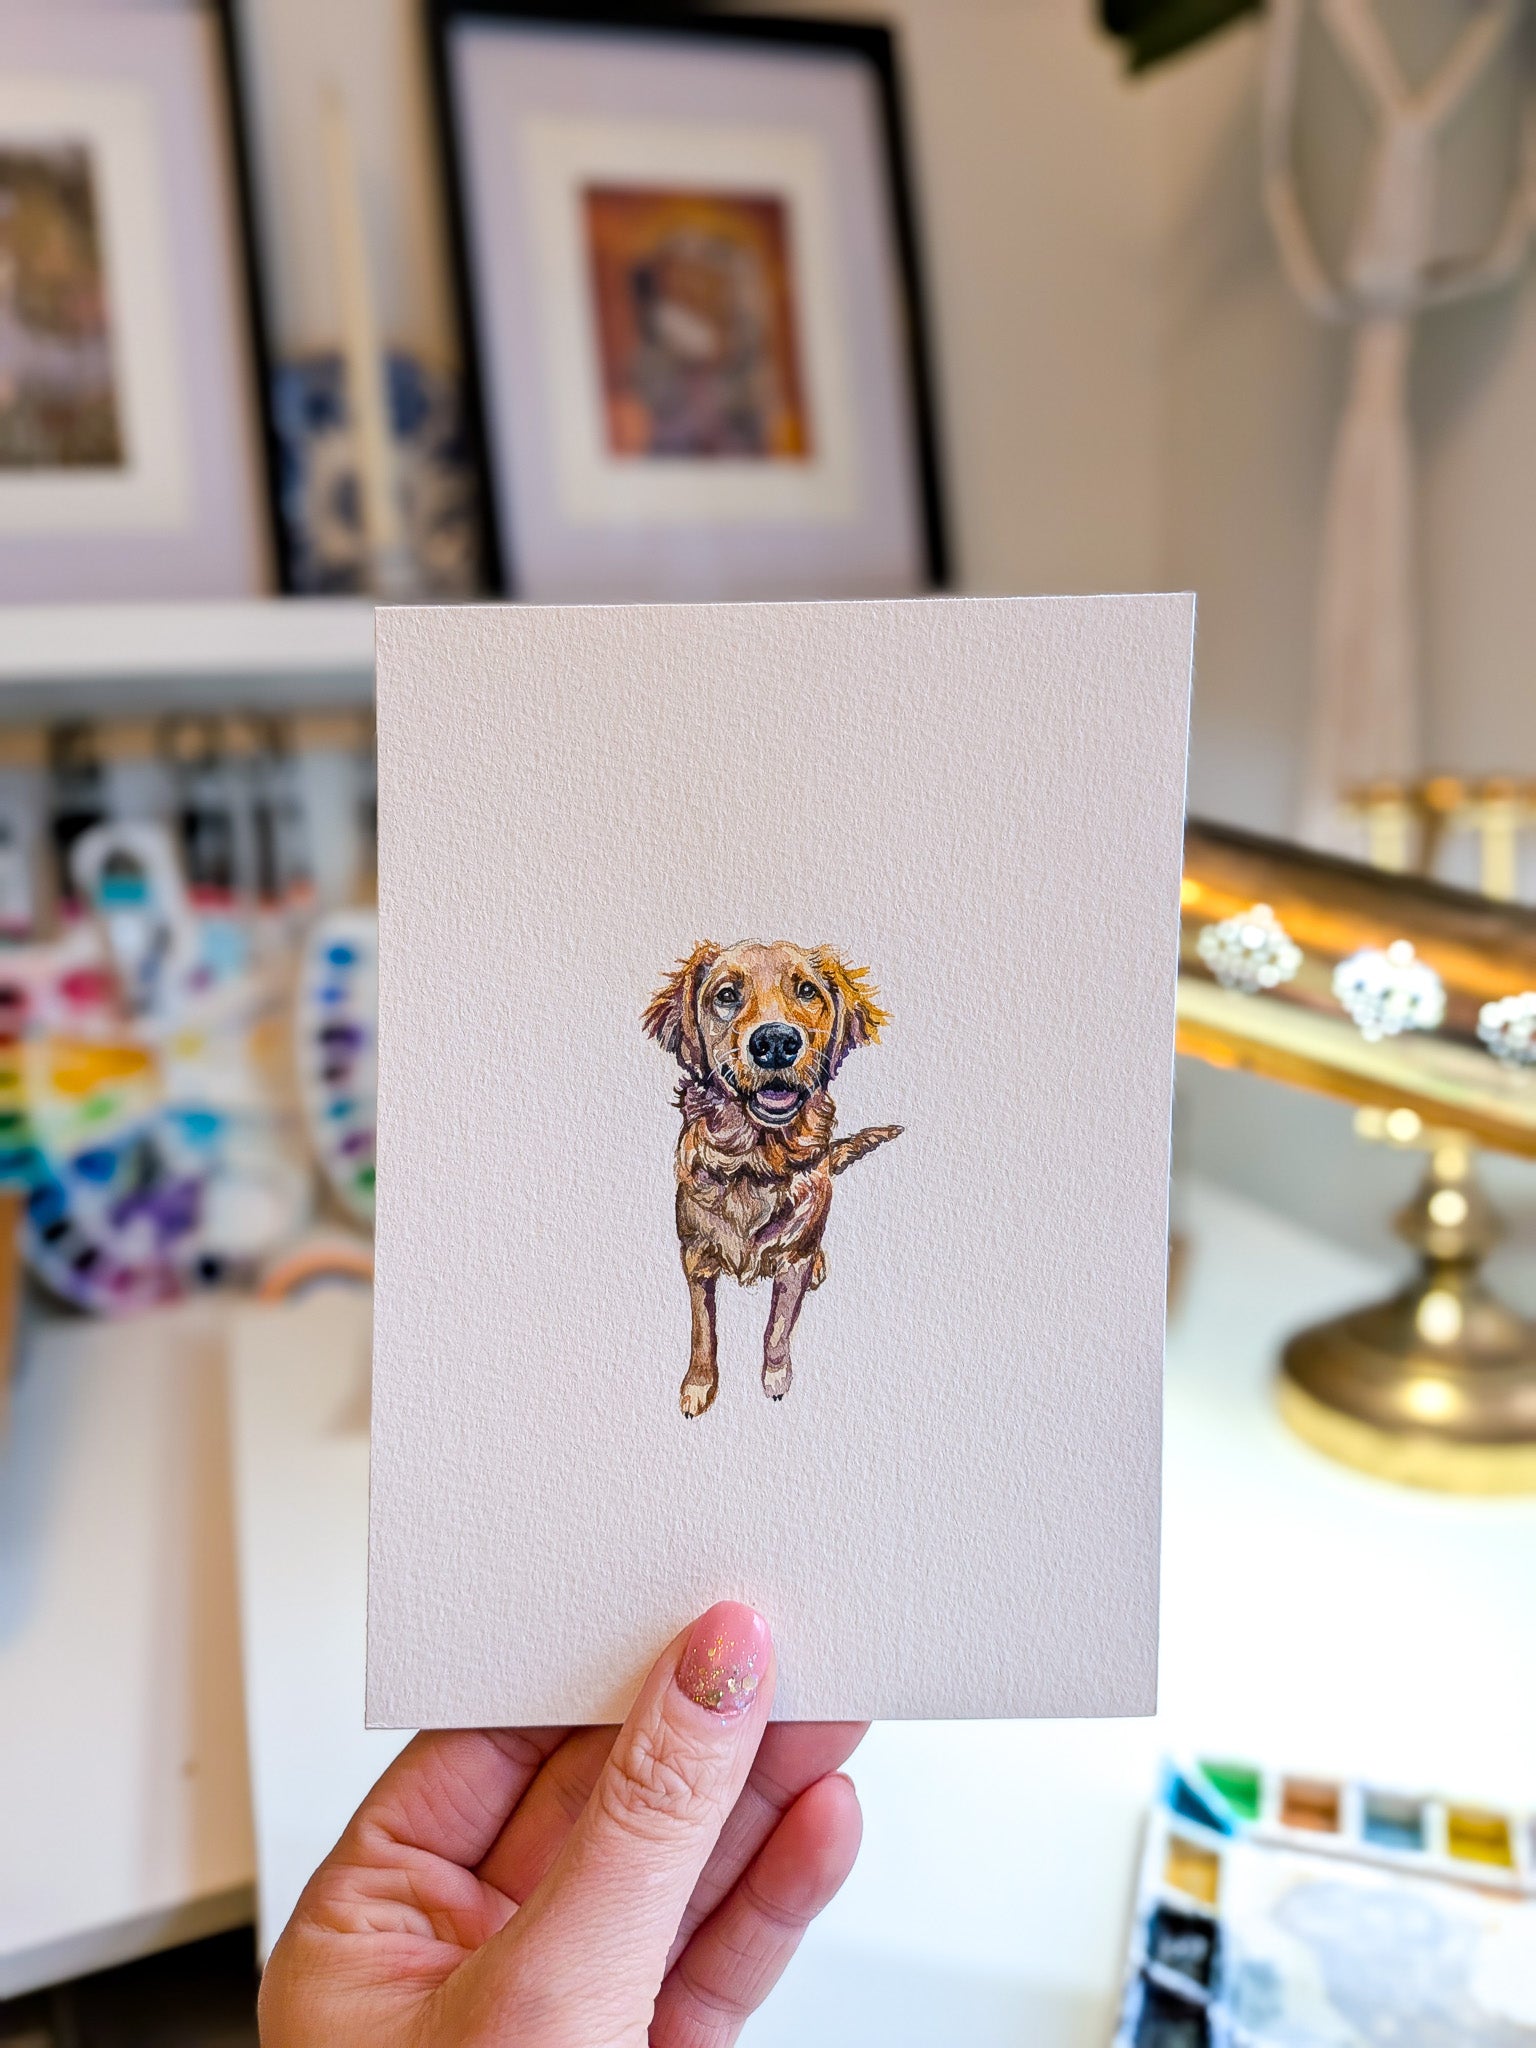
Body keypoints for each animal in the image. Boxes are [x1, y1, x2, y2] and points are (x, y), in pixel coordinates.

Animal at [643, 940, 901, 1418]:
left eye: (807, 990)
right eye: (726, 995)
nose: (776, 1042)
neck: (754, 1163)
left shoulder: (792, 1261)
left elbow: (778, 1327)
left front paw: (776, 1379)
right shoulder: (695, 1257)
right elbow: (703, 1331)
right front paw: (698, 1386)